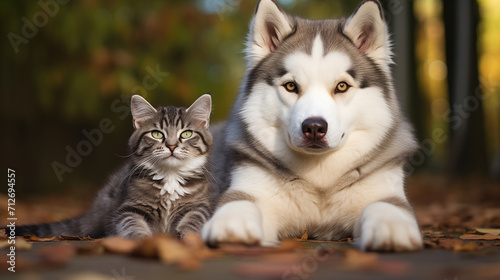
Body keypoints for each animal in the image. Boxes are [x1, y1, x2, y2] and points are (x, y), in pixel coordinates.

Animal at [13, 94, 213, 238]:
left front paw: (188, 236)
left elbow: (194, 218)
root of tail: (94, 210)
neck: (170, 176)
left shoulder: (200, 206)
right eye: (157, 134)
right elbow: (132, 223)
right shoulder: (128, 208)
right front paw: (143, 240)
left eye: (186, 134)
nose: (171, 146)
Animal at [202, 0, 422, 252]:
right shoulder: (249, 186)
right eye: (290, 86)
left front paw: (392, 227)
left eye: (342, 86)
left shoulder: (384, 190)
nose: (315, 127)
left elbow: (384, 206)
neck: (319, 178)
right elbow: (239, 204)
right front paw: (232, 225)